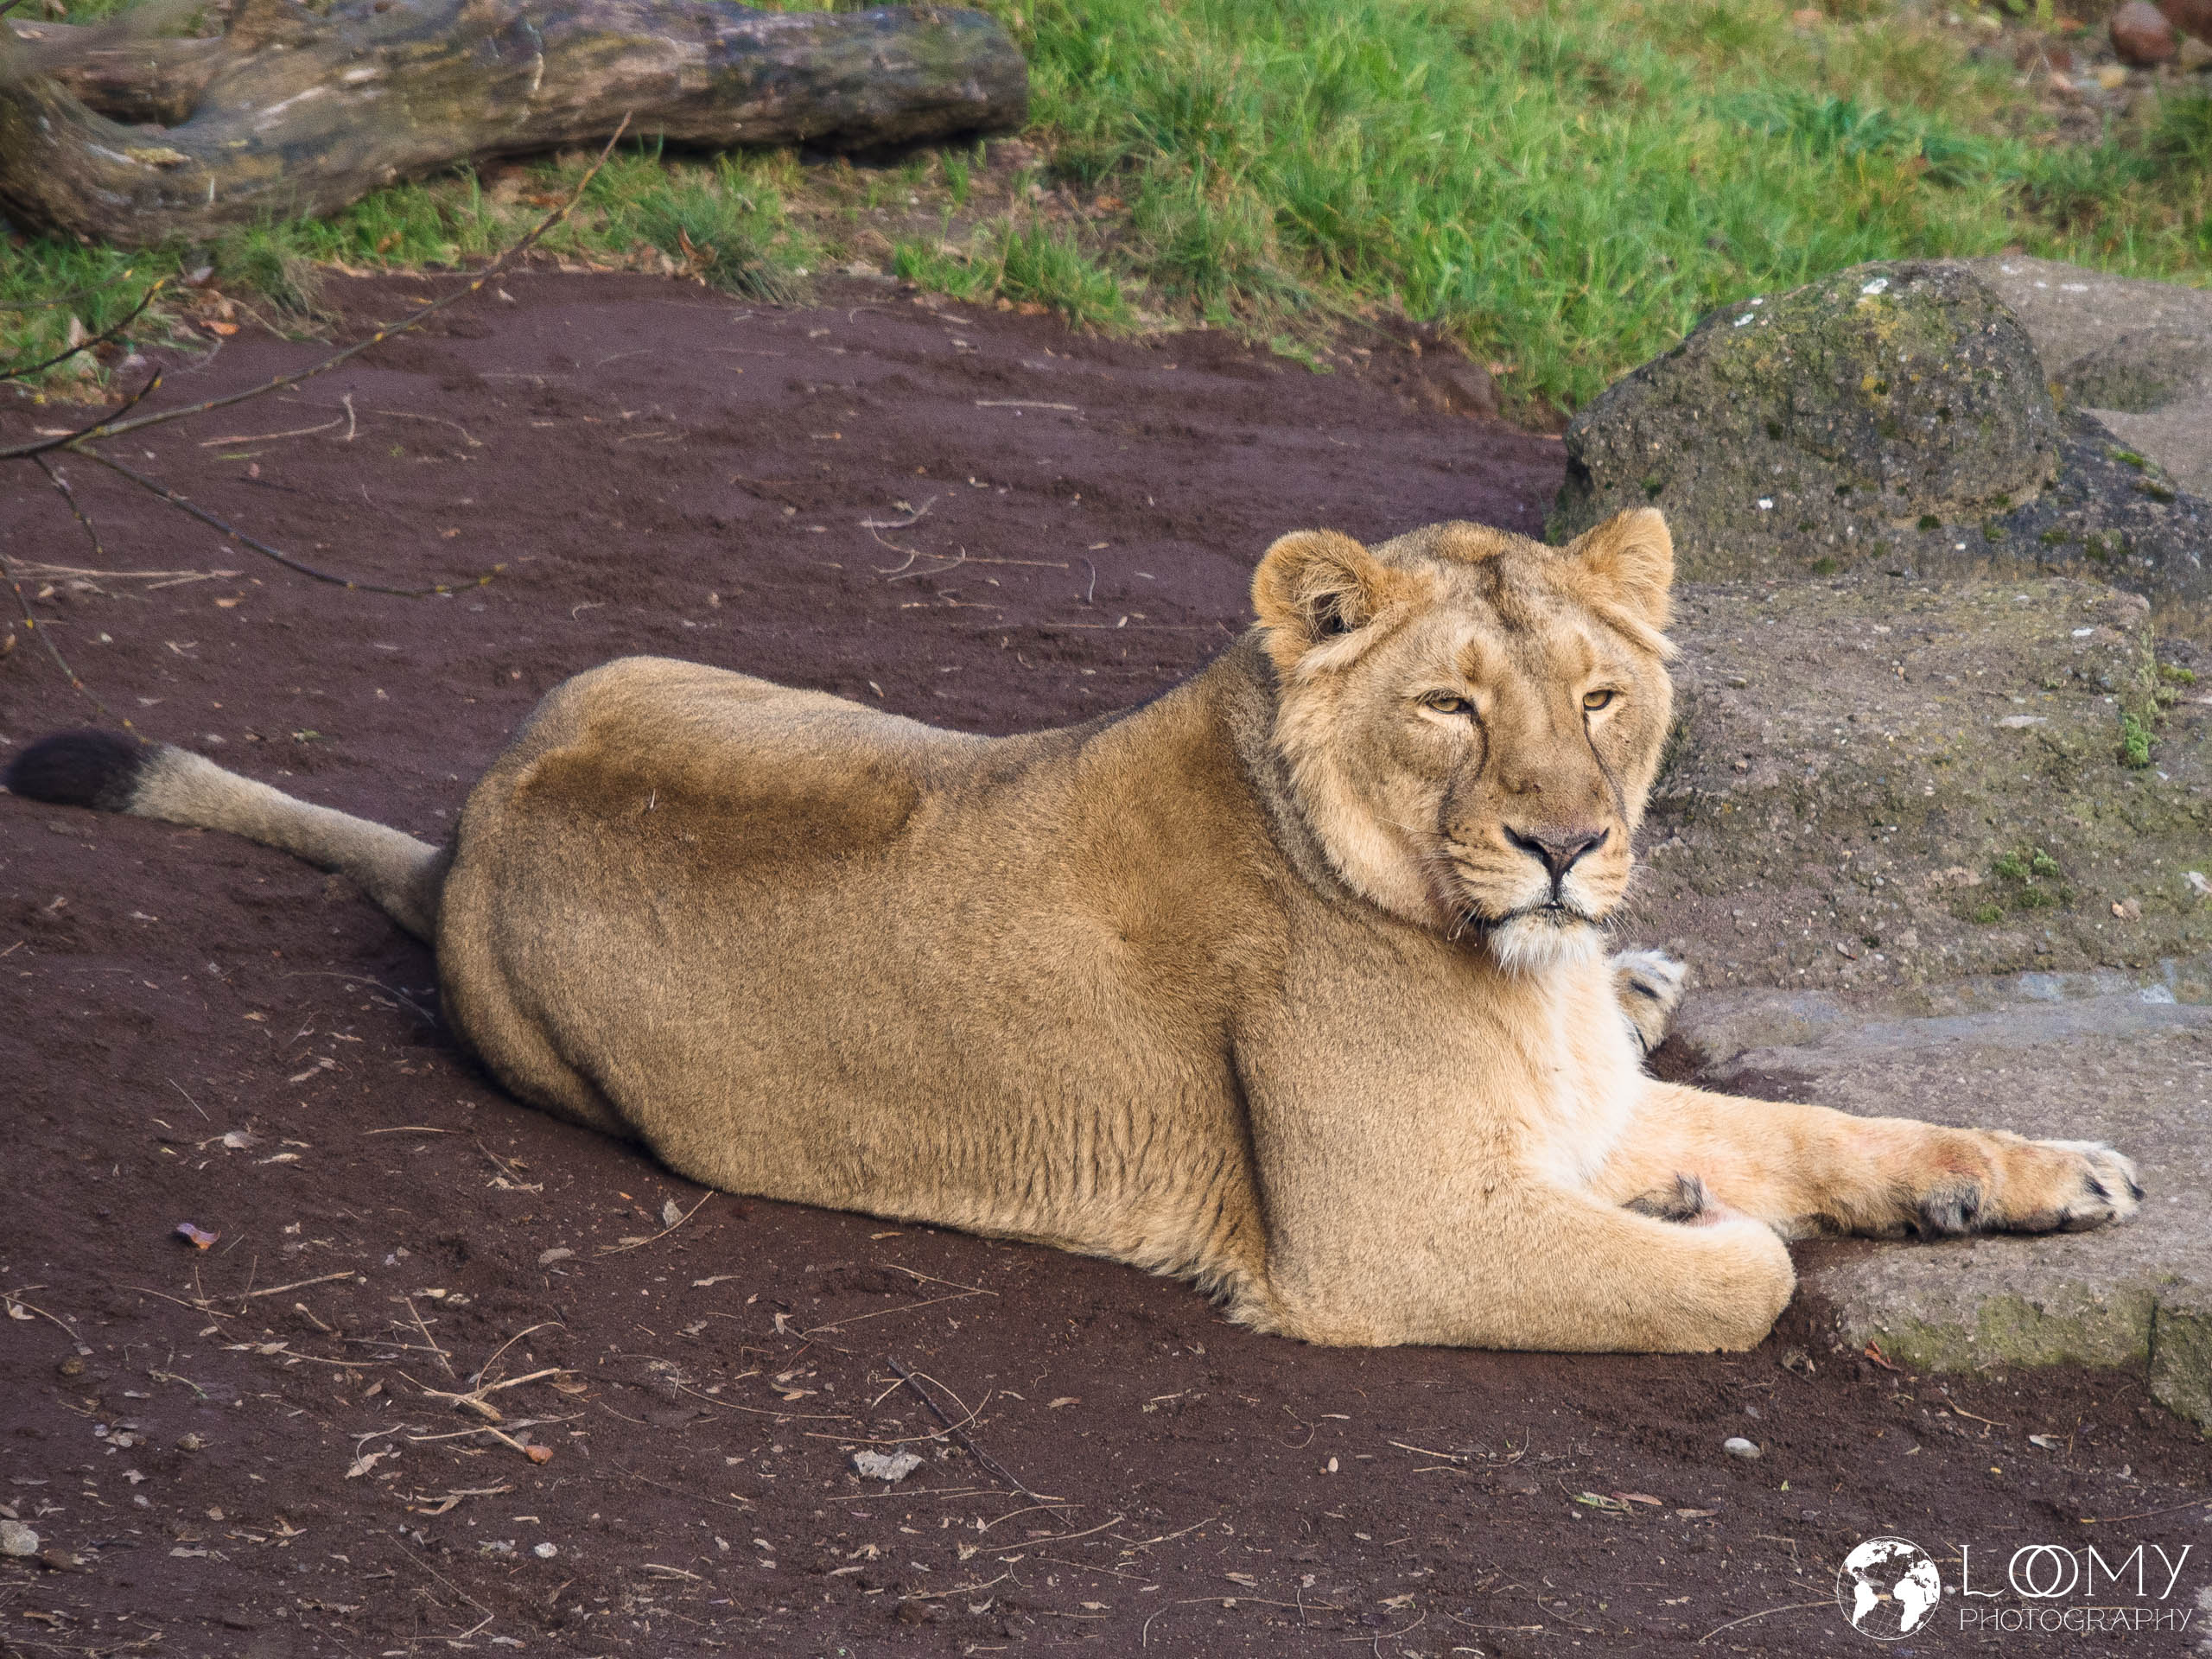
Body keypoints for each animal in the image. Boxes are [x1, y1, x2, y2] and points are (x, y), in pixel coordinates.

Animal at [5, 508, 2140, 1351]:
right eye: (1452, 709)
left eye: (1602, 698)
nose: (1568, 844)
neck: (1502, 971)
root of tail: (469, 833)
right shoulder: (1381, 1245)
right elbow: (1747, 1275)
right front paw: (1693, 1217)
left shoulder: (1584, 1099)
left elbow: (1837, 1137)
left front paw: (2036, 1178)